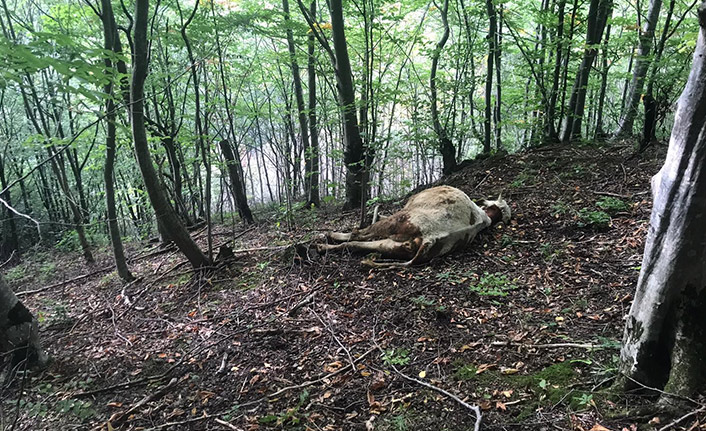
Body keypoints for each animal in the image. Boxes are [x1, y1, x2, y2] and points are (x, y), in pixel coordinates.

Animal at [316, 186, 508, 266]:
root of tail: (432, 238)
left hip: (400, 220)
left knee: (358, 234)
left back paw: (326, 237)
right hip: (398, 246)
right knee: (356, 244)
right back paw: (323, 246)